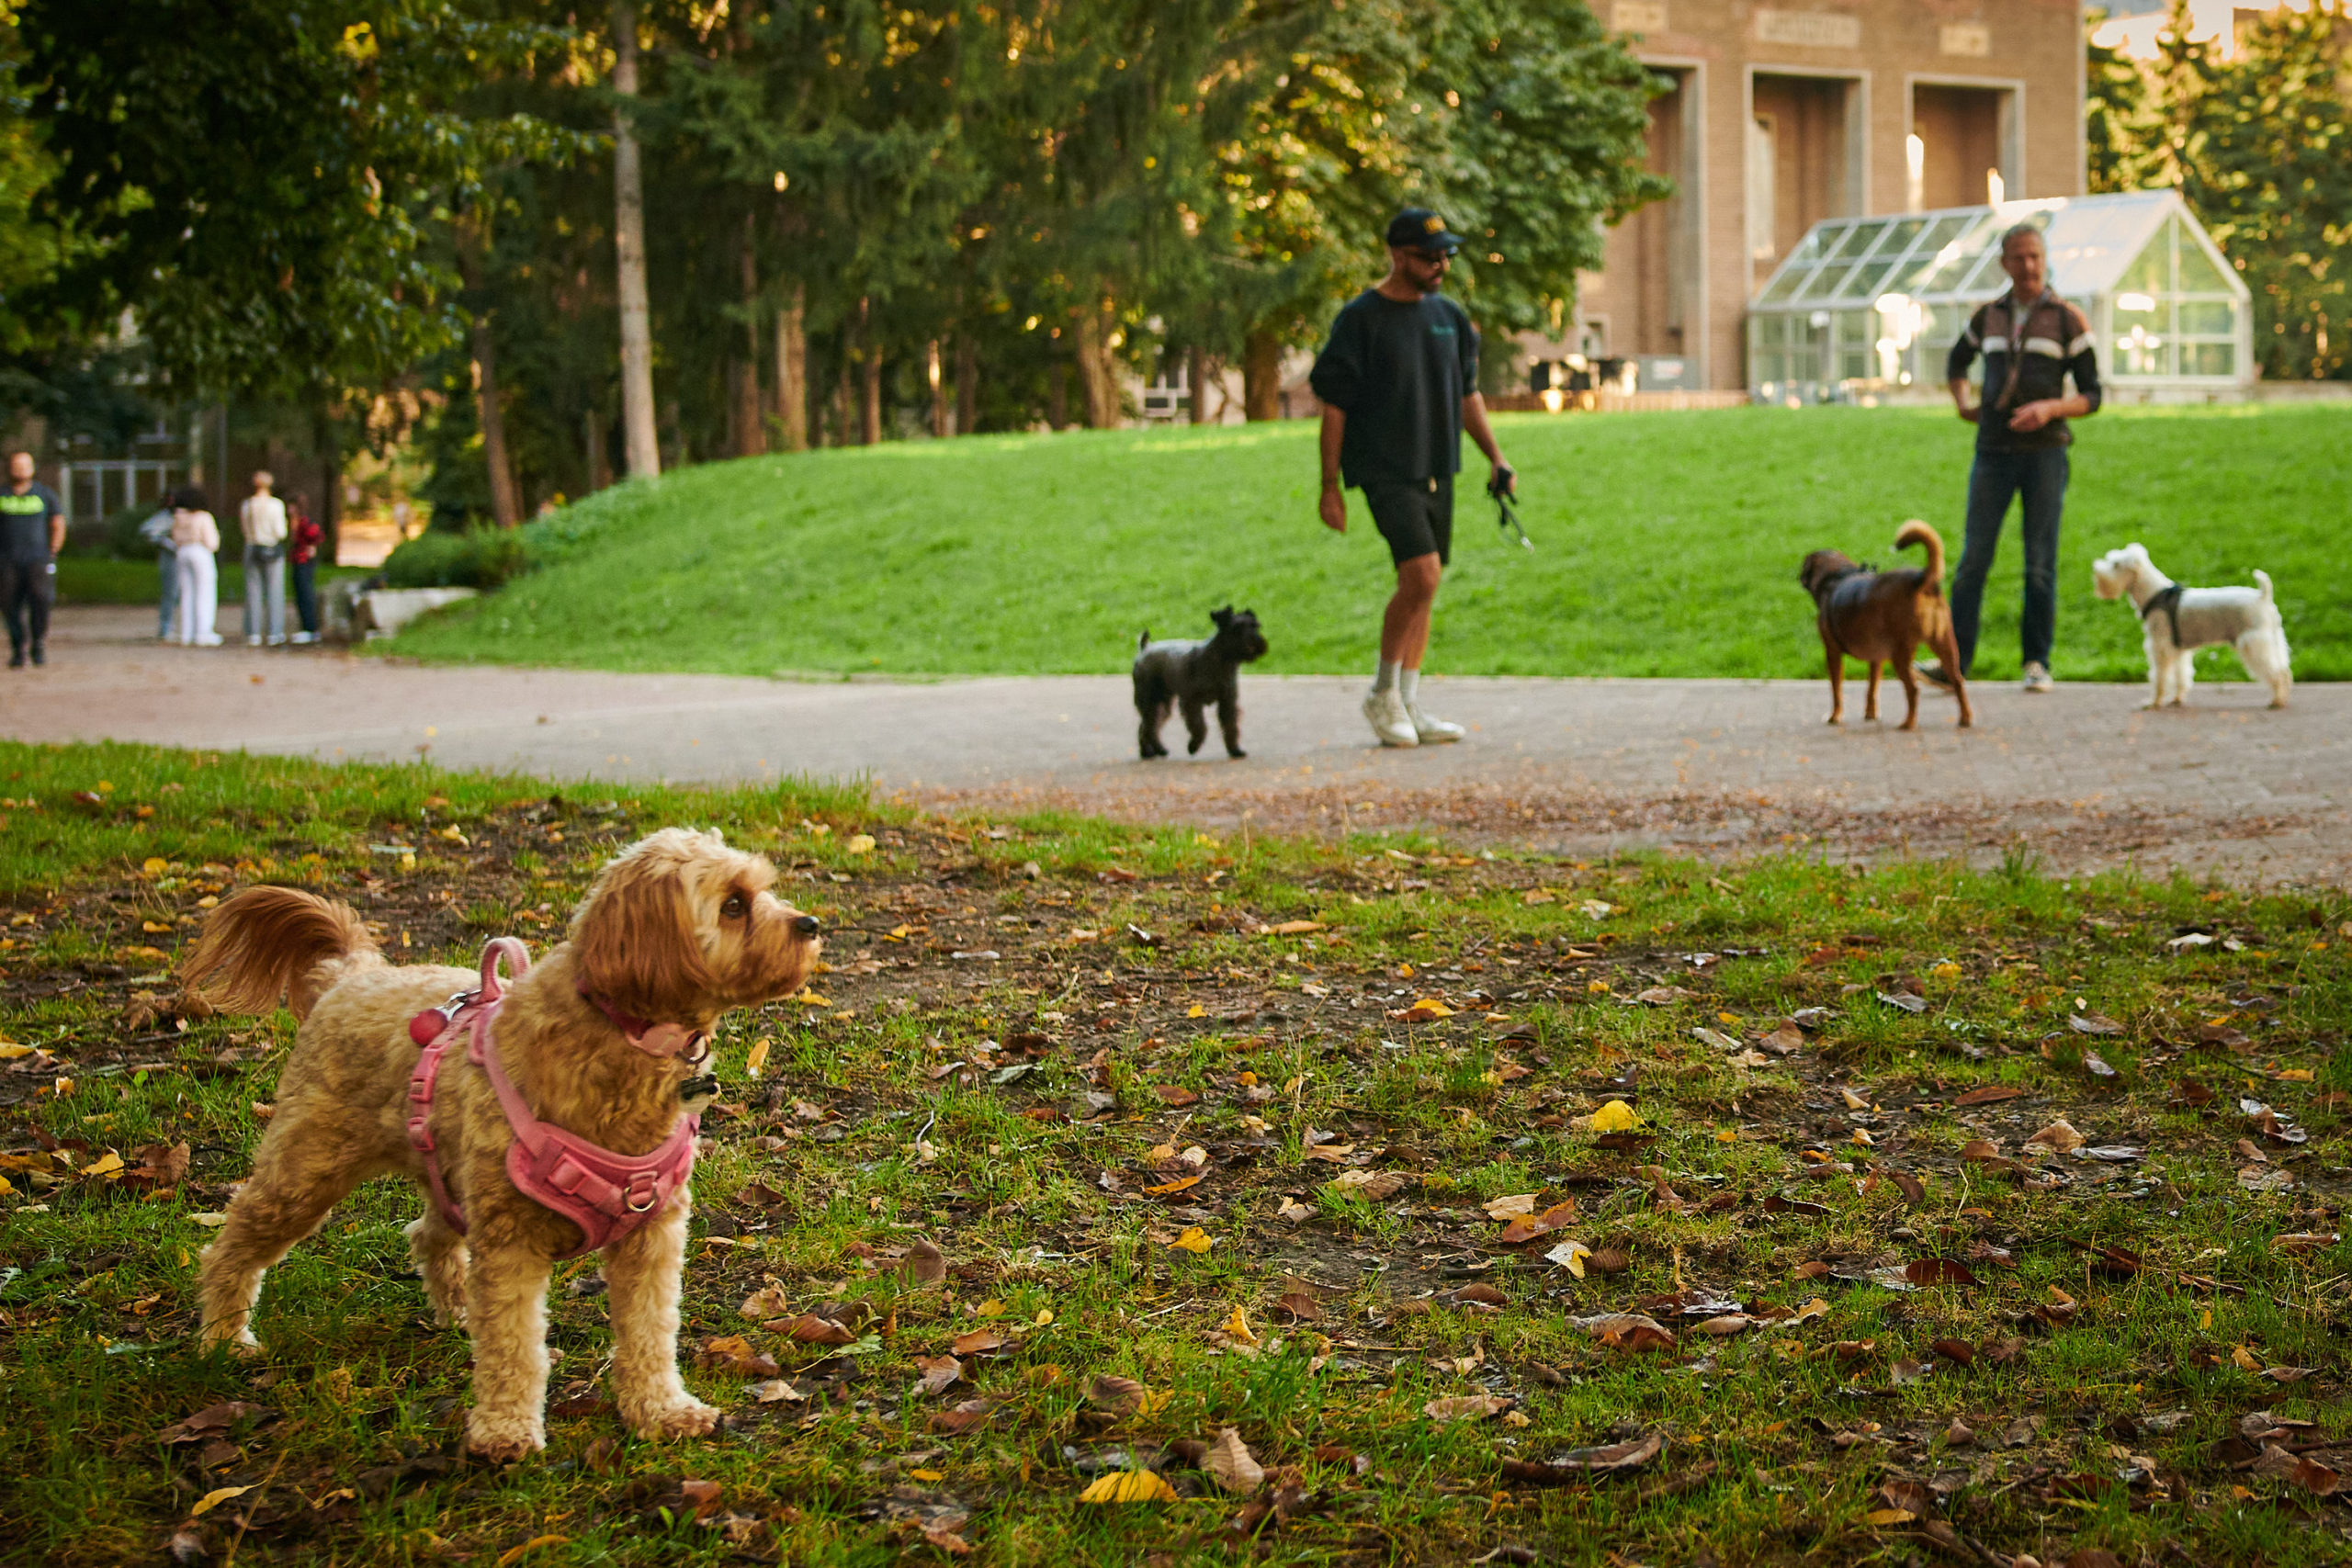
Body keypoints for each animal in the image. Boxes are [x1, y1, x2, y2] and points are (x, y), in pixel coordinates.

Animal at [1133, 606, 1270, 761]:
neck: (1221, 660)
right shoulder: (1191, 702)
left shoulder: (1227, 702)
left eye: (1256, 626)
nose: (1256, 642)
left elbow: (1231, 727)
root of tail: (1144, 649)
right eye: (1236, 628)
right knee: (1148, 728)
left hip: (1162, 705)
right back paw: (1157, 750)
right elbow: (1199, 726)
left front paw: (1235, 750)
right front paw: (1193, 746)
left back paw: (1149, 752)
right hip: (1151, 701)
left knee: (1147, 727)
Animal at [2088, 543, 2286, 709]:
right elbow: (2180, 676)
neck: (2154, 593)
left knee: (2277, 673)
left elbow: (2159, 677)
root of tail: (2263, 596)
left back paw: (2277, 700)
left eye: (2116, 564)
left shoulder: (2160, 647)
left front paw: (2154, 702)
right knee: (2283, 669)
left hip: (2254, 644)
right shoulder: (2178, 650)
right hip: (2274, 640)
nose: (2095, 568)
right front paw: (2177, 699)